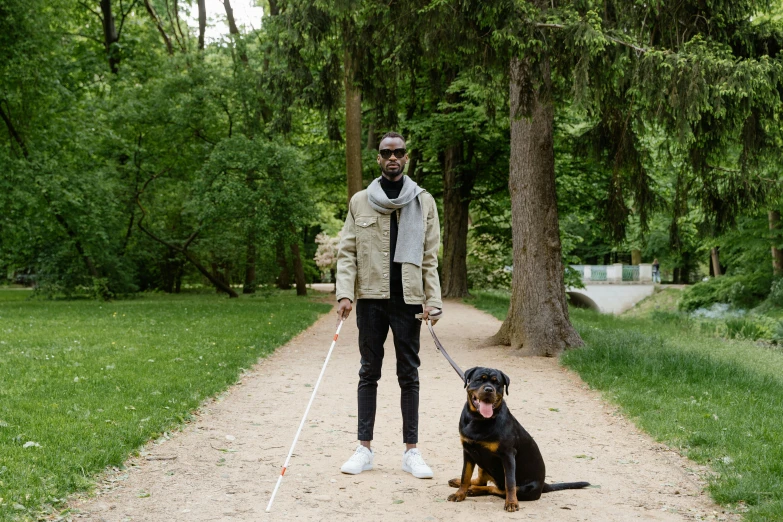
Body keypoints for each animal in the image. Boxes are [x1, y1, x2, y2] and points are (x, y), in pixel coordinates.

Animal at [448, 366, 588, 508]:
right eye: (479, 380)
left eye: (497, 383)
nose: (489, 389)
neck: (479, 419)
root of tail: (543, 485)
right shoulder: (468, 451)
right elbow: (465, 476)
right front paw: (459, 494)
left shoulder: (508, 454)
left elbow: (510, 483)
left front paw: (511, 502)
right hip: (482, 464)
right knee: (482, 481)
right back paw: (462, 484)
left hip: (525, 489)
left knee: (499, 489)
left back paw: (475, 490)